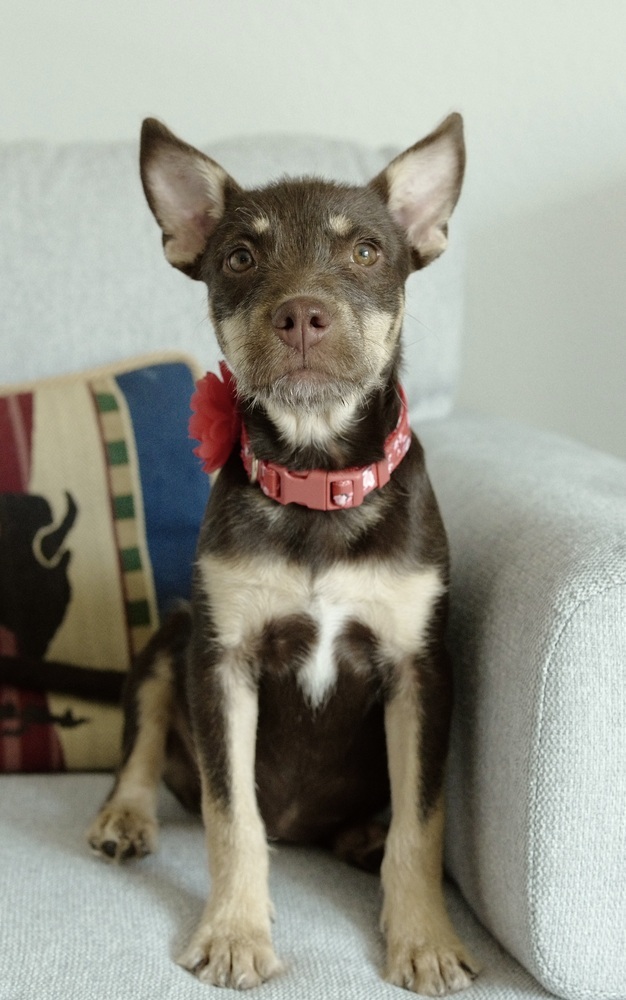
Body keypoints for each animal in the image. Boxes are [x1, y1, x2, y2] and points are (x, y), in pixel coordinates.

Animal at [86, 115, 478, 992]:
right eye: (239, 257)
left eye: (366, 251)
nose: (302, 314)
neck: (316, 479)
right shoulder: (222, 658)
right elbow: (232, 817)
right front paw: (235, 934)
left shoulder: (421, 669)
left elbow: (423, 822)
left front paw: (425, 941)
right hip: (172, 634)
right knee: (141, 749)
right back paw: (125, 818)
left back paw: (362, 837)